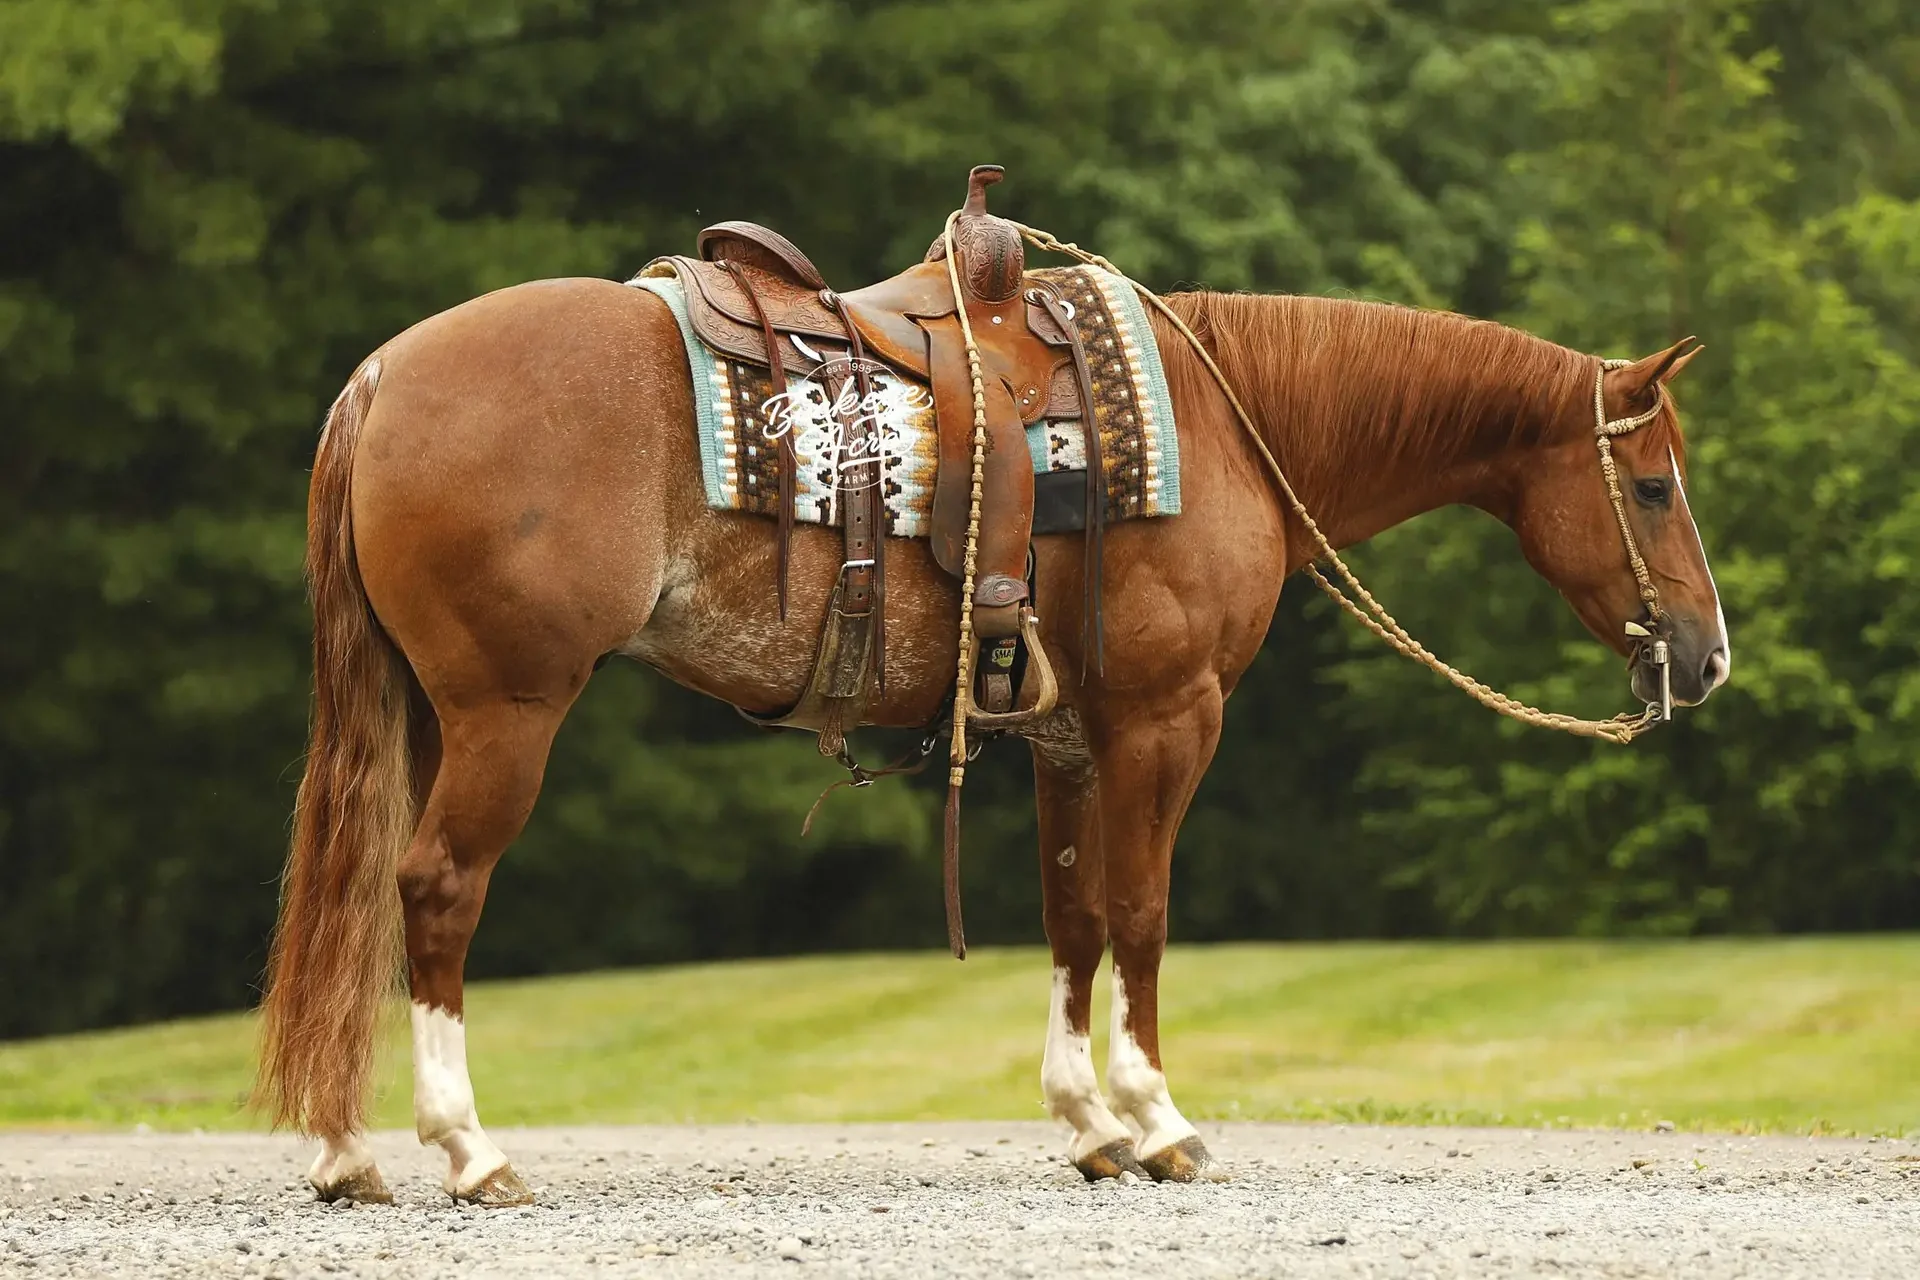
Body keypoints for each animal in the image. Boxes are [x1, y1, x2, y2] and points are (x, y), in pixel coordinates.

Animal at [255, 271, 1729, 1205]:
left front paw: (1089, 1124)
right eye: (1656, 485)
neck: (1221, 426)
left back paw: (346, 1153)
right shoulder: (1168, 717)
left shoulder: (1068, 737)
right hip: (507, 714)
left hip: (427, 713)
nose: (1707, 655)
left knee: (364, 902)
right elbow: (1142, 911)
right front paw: (1162, 1119)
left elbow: (1074, 917)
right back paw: (469, 1150)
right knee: (436, 892)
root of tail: (383, 375)